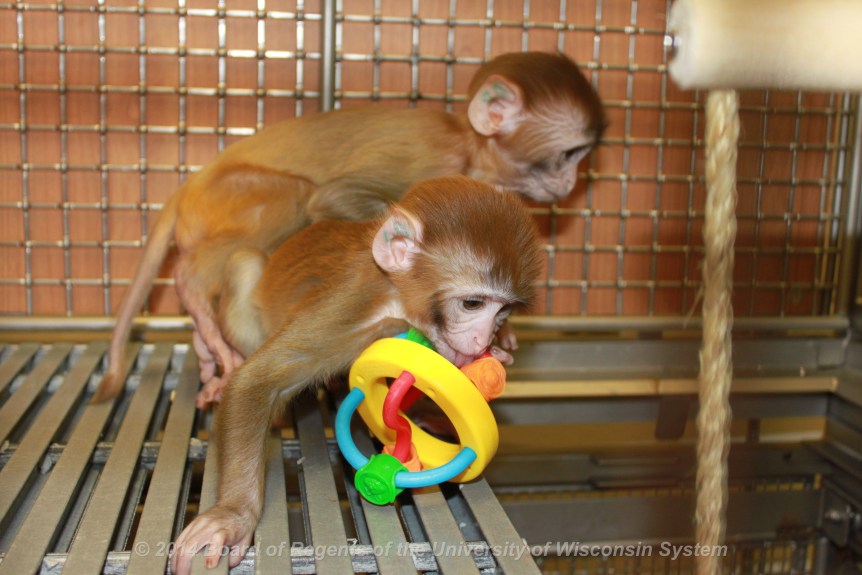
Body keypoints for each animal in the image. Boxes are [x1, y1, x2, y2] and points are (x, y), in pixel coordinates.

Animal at [94, 51, 604, 404]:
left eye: (581, 157)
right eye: (569, 153)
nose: (571, 182)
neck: (471, 145)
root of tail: (190, 184)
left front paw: (505, 333)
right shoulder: (433, 159)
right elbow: (333, 199)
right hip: (226, 197)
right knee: (293, 197)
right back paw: (195, 298)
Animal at [167, 175, 542, 575]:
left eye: (503, 311)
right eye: (472, 303)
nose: (482, 338)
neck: (395, 296)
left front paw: (499, 349)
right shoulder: (351, 302)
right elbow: (259, 378)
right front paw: (231, 517)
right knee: (244, 264)